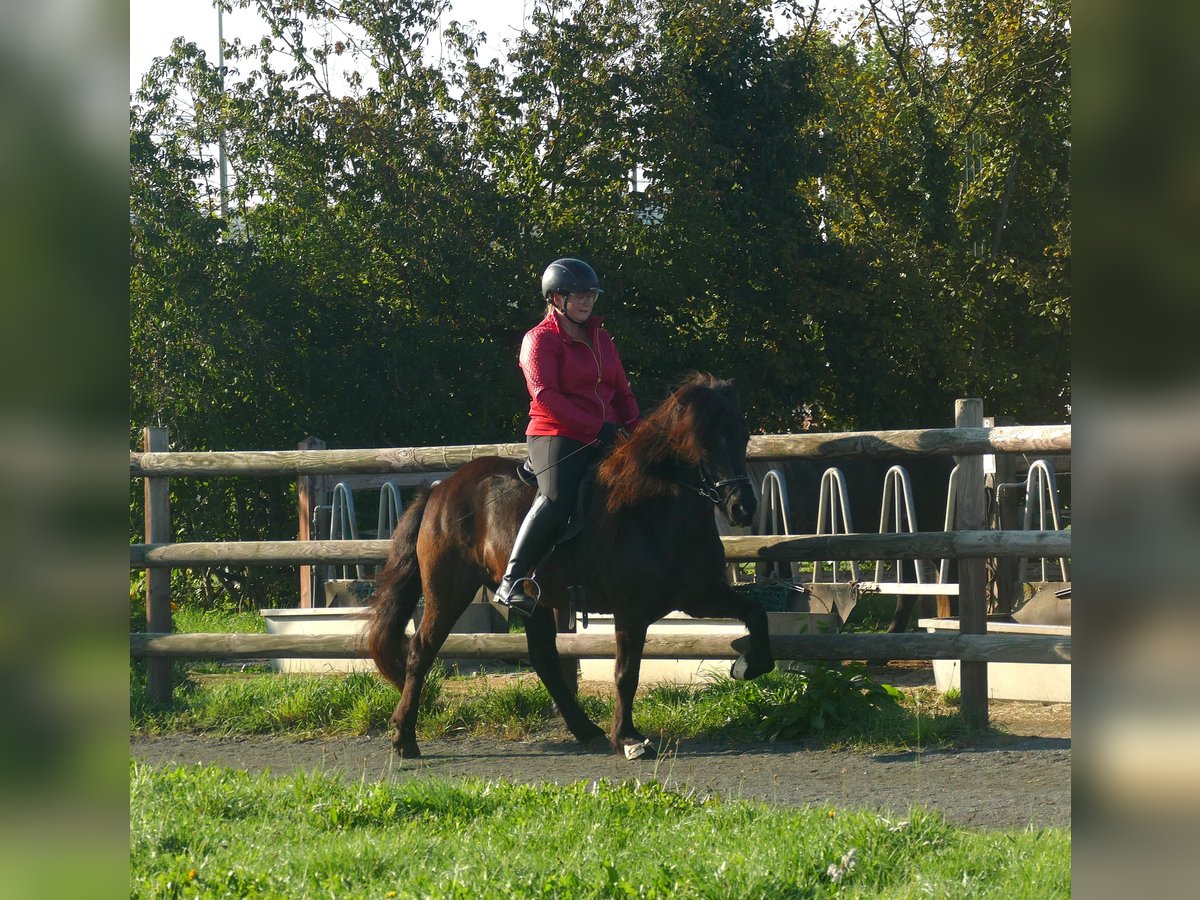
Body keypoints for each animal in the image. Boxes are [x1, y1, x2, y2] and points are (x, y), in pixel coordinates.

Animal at [366, 373, 775, 760]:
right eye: (706, 441)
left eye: (743, 436)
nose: (742, 508)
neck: (656, 510)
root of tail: (440, 489)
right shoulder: (631, 612)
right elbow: (626, 673)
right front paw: (628, 739)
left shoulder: (700, 596)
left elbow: (757, 614)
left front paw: (749, 665)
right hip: (448, 591)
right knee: (421, 650)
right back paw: (403, 738)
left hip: (532, 603)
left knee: (544, 660)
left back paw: (586, 730)